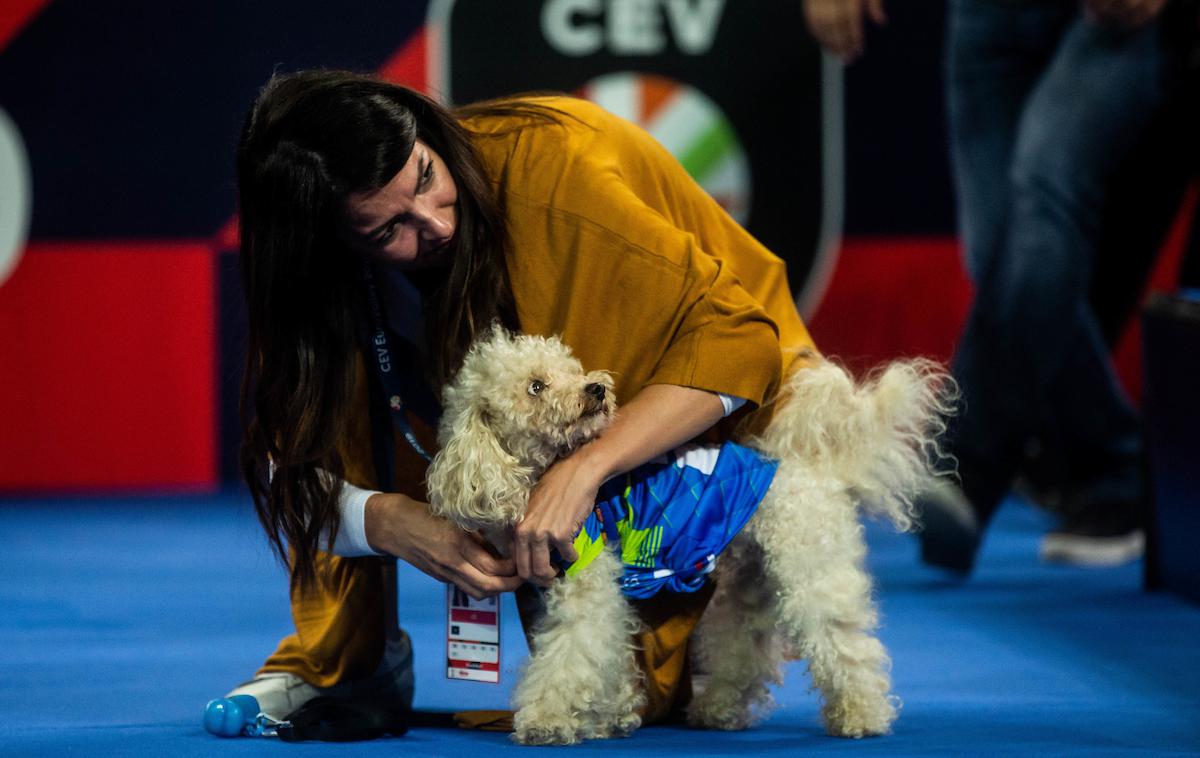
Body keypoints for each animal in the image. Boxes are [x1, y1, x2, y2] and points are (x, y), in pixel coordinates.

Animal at [427, 326, 950, 748]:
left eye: (569, 370)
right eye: (536, 387)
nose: (595, 388)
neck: (538, 474)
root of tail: (813, 464)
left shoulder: (587, 585)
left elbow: (569, 656)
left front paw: (548, 721)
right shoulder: (586, 589)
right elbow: (607, 657)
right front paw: (611, 715)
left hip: (809, 567)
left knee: (844, 644)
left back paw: (862, 716)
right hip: (753, 578)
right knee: (744, 643)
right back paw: (719, 709)